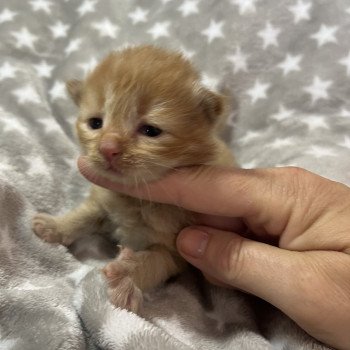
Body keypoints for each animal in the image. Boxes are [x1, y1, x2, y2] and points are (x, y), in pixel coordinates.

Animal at [32, 45, 235, 312]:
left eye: (150, 130)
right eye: (95, 123)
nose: (107, 148)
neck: (134, 200)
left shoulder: (175, 247)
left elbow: (154, 261)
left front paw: (128, 276)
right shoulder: (102, 202)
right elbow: (82, 216)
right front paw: (55, 225)